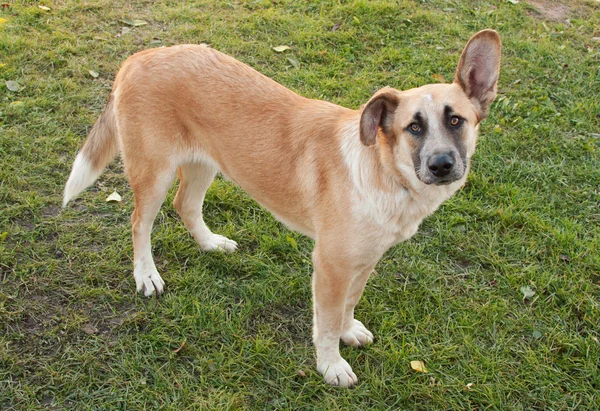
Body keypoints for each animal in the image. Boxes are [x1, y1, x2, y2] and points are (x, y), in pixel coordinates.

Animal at [63, 30, 502, 388]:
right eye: (414, 127)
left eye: (456, 121)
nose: (442, 165)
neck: (383, 172)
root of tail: (140, 56)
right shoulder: (330, 264)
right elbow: (326, 322)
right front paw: (331, 365)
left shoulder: (363, 260)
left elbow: (350, 302)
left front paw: (349, 330)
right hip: (155, 172)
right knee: (140, 222)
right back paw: (147, 276)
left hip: (208, 162)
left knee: (185, 205)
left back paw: (211, 244)